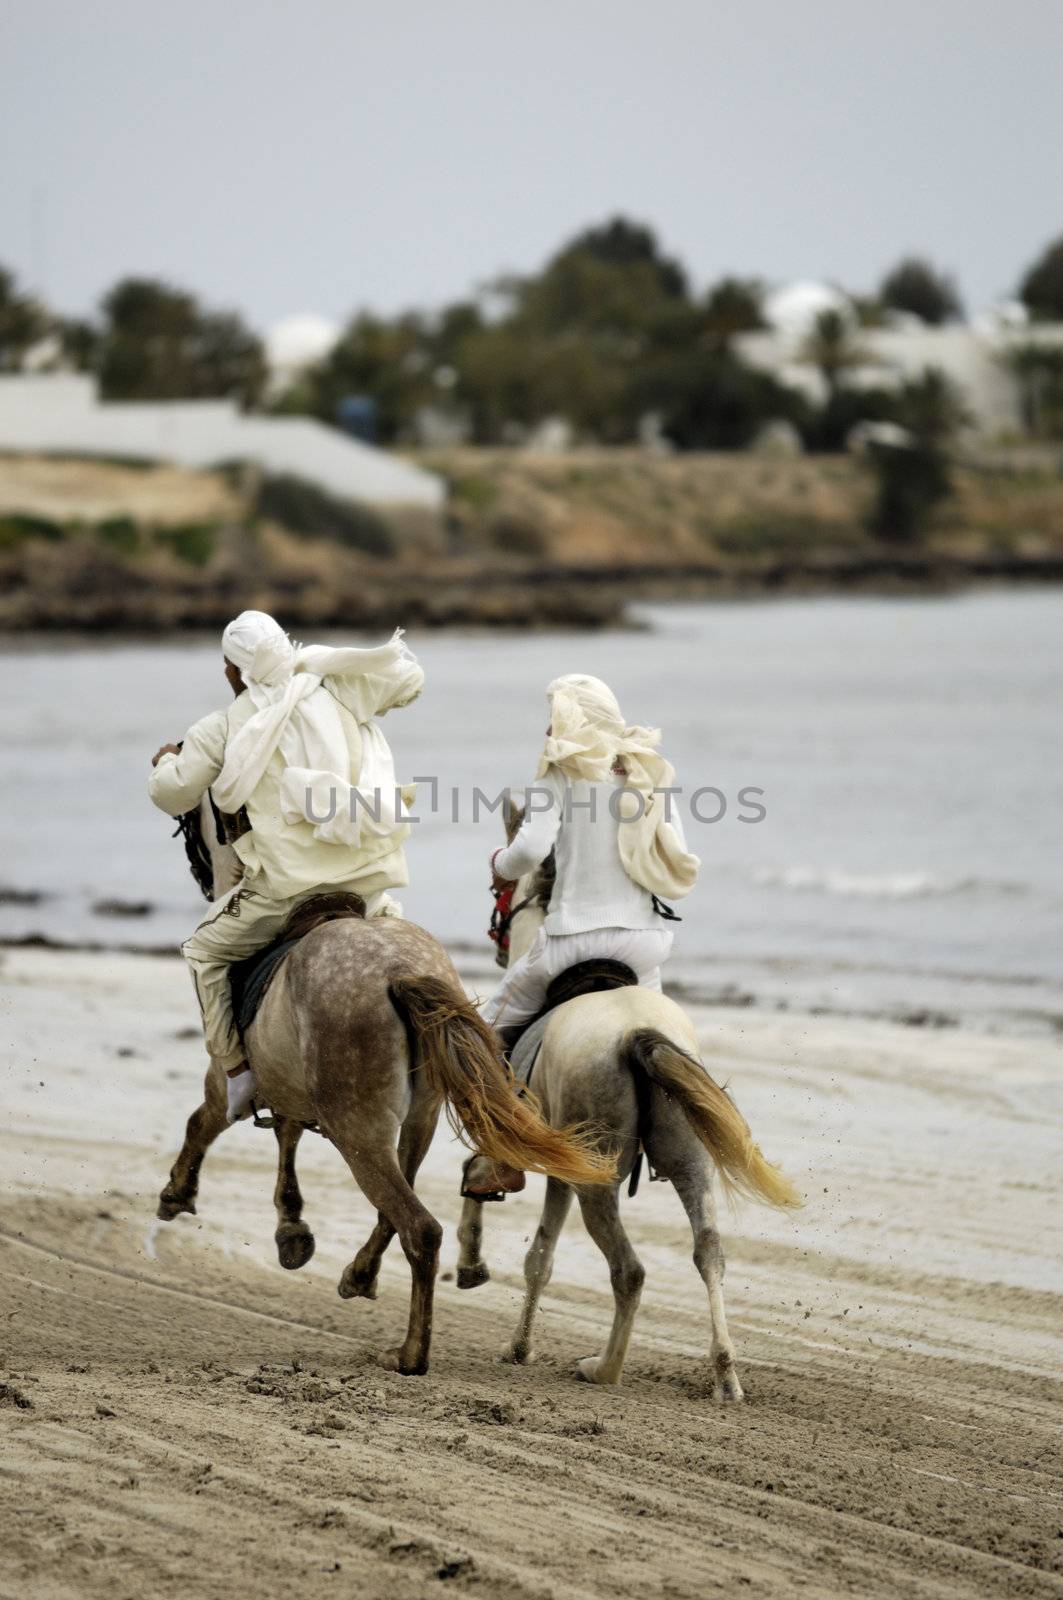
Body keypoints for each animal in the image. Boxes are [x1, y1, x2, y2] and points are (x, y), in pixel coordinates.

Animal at [454, 812, 797, 1401]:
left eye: (500, 887)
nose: (497, 943)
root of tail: (636, 1031)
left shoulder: (551, 1167)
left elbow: (521, 1235)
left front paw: (501, 1318)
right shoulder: (563, 1172)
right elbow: (539, 1253)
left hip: (598, 1181)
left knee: (629, 1270)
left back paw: (604, 1369)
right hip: (688, 1161)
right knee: (709, 1253)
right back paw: (725, 1375)